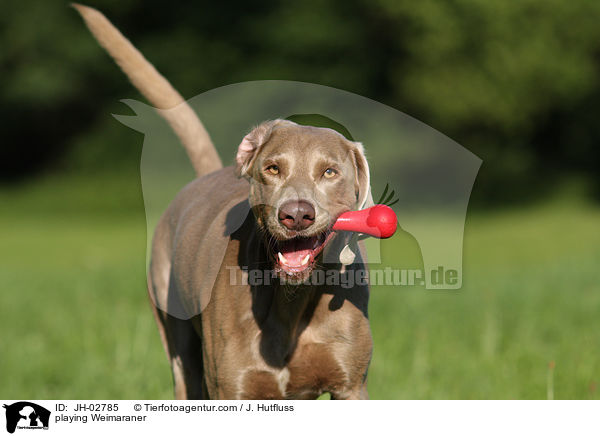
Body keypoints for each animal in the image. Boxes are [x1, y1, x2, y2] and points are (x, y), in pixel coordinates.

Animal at [74, 4, 372, 398]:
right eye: (272, 168)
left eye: (329, 172)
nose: (296, 215)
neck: (292, 299)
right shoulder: (230, 386)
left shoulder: (350, 385)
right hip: (178, 341)